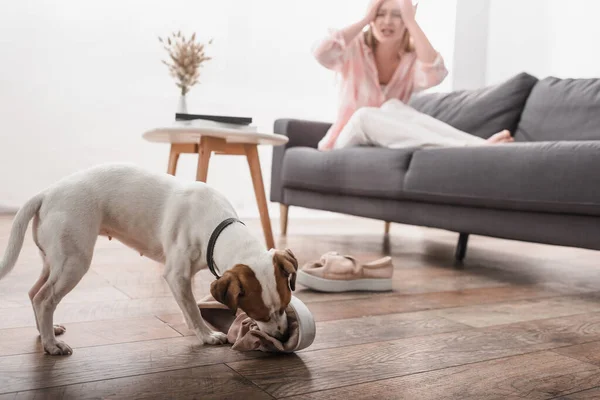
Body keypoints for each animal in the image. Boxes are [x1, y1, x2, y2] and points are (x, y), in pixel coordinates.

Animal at [0, 163, 298, 356]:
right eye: (257, 314)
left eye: (286, 305)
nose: (283, 336)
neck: (217, 224)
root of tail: (47, 193)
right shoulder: (177, 276)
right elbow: (192, 309)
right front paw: (206, 335)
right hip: (73, 262)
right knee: (44, 299)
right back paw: (51, 345)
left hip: (55, 260)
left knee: (34, 293)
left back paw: (46, 332)